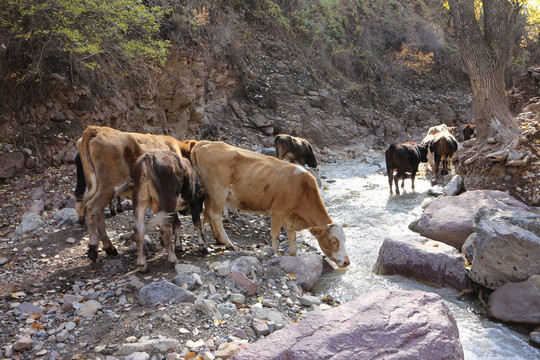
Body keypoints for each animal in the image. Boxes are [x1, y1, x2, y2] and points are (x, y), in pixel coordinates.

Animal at [73, 126, 196, 262]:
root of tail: (97, 129)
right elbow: (176, 222)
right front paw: (177, 246)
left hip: (95, 186)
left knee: (96, 211)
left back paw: (110, 248)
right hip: (110, 186)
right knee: (91, 208)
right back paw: (93, 248)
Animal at [192, 141, 352, 268]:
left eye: (345, 239)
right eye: (333, 241)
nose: (347, 262)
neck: (302, 190)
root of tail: (204, 144)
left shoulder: (290, 218)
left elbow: (292, 237)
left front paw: (293, 254)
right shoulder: (277, 213)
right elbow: (274, 234)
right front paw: (276, 252)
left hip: (210, 194)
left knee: (208, 214)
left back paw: (218, 239)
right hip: (218, 192)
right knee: (215, 215)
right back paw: (228, 243)